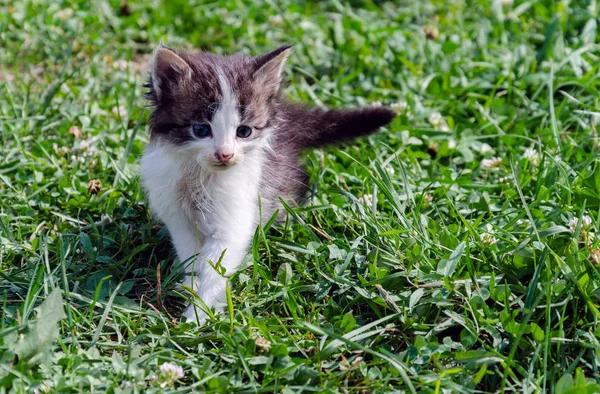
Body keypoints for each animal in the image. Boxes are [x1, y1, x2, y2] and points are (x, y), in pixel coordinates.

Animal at [139, 44, 394, 322]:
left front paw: (198, 314)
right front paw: (191, 286)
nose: (225, 154)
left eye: (244, 131)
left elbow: (216, 266)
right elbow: (192, 256)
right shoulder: (177, 213)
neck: (201, 175)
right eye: (200, 130)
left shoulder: (236, 214)